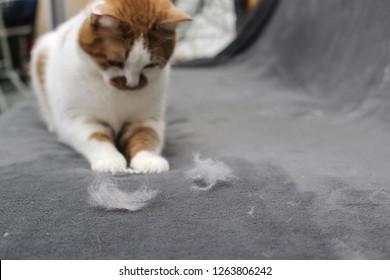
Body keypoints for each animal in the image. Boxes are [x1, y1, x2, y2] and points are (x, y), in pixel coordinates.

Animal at [30, 0, 190, 173]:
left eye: (150, 65)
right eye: (116, 63)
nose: (132, 84)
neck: (115, 94)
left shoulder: (145, 119)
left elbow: (147, 136)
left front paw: (148, 159)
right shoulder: (79, 120)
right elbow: (96, 138)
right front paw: (109, 159)